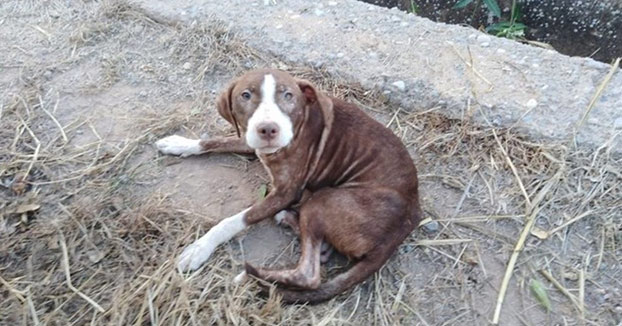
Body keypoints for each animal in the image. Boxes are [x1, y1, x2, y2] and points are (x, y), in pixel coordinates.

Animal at [156, 69, 424, 304]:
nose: (268, 129)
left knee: (309, 276)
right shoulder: (249, 140)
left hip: (324, 200)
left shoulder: (286, 192)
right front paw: (181, 144)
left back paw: (252, 277)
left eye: (288, 95)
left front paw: (200, 248)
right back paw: (292, 225)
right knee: (316, 252)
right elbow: (215, 141)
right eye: (246, 95)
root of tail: (409, 219)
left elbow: (234, 220)